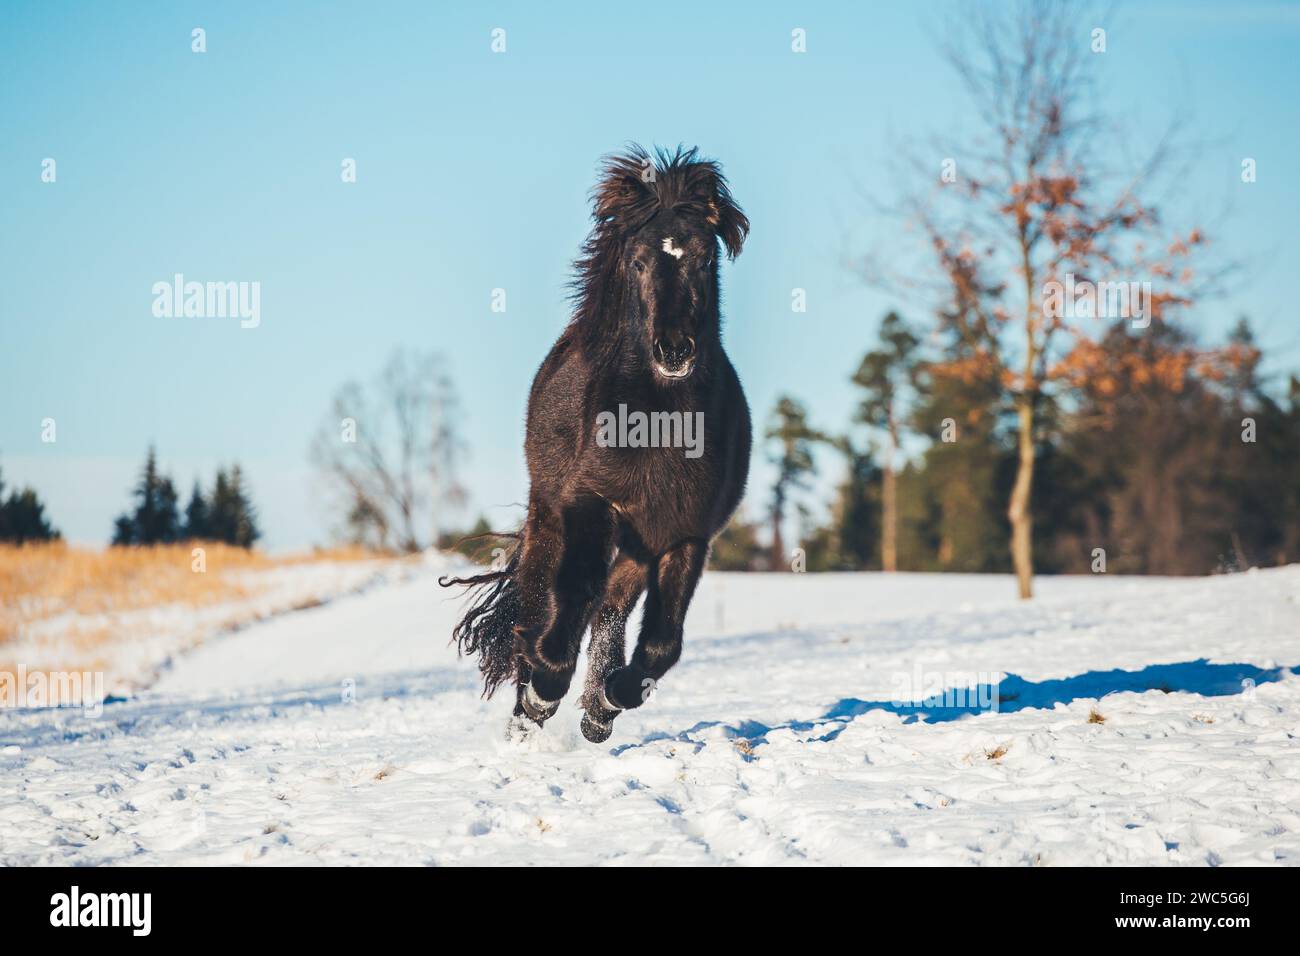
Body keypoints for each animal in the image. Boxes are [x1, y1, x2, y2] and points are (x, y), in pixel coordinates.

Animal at [441, 145, 751, 743]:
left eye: (704, 259)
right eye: (638, 263)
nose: (674, 350)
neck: (658, 425)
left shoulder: (686, 533)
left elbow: (661, 641)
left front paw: (607, 699)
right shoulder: (591, 504)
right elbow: (573, 595)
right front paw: (544, 691)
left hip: (637, 544)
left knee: (611, 607)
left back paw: (594, 709)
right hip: (550, 517)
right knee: (539, 605)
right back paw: (526, 716)